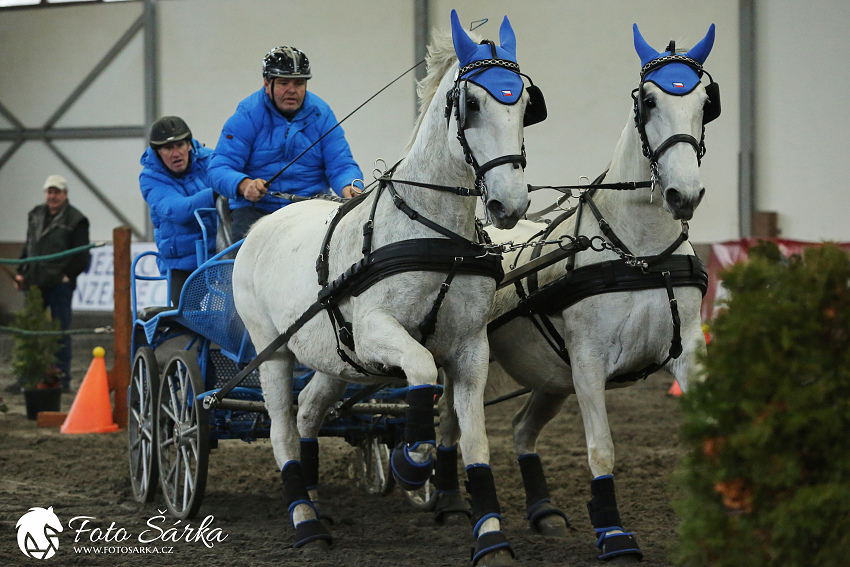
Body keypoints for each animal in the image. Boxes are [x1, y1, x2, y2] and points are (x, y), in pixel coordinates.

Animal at [232, 8, 536, 567]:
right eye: (472, 103)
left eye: (526, 103)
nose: (510, 204)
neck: (434, 234)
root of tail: (263, 223)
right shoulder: (378, 330)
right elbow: (421, 371)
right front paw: (412, 462)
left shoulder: (470, 348)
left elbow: (474, 441)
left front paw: (490, 536)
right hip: (273, 352)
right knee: (282, 428)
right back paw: (305, 520)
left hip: (333, 359)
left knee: (309, 414)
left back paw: (314, 499)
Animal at [438, 21, 716, 564]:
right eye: (648, 101)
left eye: (705, 103)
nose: (684, 195)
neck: (640, 252)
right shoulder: (589, 363)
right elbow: (601, 448)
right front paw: (614, 533)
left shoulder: (687, 350)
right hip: (465, 356)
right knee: (448, 425)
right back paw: (448, 500)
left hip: (549, 374)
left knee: (521, 428)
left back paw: (543, 510)